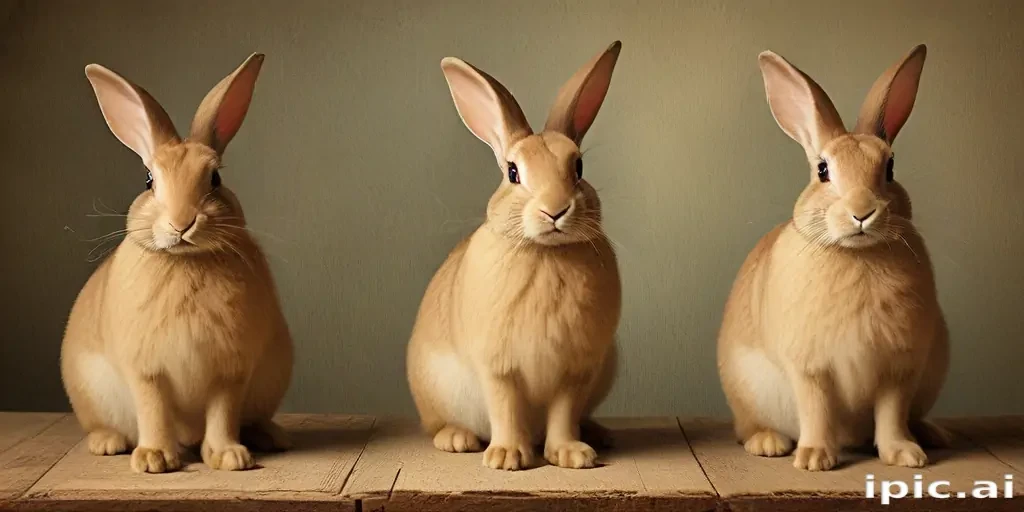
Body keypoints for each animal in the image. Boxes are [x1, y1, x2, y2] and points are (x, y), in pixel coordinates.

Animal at [61, 53, 293, 474]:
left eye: (215, 178)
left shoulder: (229, 372)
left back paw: (272, 437)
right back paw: (109, 443)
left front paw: (228, 457)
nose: (182, 222)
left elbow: (222, 413)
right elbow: (153, 410)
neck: (186, 260)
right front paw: (154, 459)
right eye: (148, 180)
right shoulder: (146, 372)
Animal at [407, 41, 623, 471]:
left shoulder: (574, 372)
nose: (555, 210)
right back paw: (457, 439)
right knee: (439, 424)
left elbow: (563, 413)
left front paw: (571, 455)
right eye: (512, 172)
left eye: (579, 166)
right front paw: (507, 458)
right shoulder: (499, 369)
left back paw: (599, 435)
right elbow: (505, 408)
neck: (546, 253)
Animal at [717, 44, 952, 472]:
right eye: (823, 170)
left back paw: (932, 435)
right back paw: (769, 443)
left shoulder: (898, 370)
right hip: (746, 391)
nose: (862, 212)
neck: (856, 254)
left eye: (890, 167)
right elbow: (816, 409)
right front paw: (814, 459)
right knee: (747, 427)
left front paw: (905, 456)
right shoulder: (810, 368)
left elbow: (891, 413)